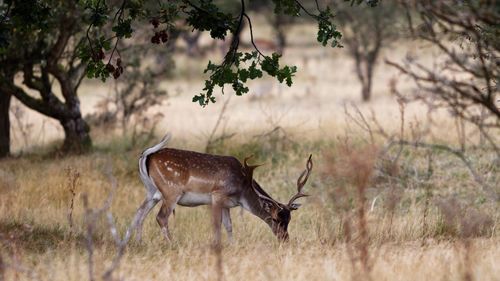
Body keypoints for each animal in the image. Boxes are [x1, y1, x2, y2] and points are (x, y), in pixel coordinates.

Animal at [129, 133, 314, 241]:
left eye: (289, 219)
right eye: (275, 218)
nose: (284, 239)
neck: (242, 191)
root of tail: (147, 156)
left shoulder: (227, 204)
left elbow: (229, 226)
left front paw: (232, 246)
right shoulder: (217, 195)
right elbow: (217, 225)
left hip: (152, 192)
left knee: (138, 214)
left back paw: (136, 243)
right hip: (171, 191)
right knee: (161, 217)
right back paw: (172, 244)